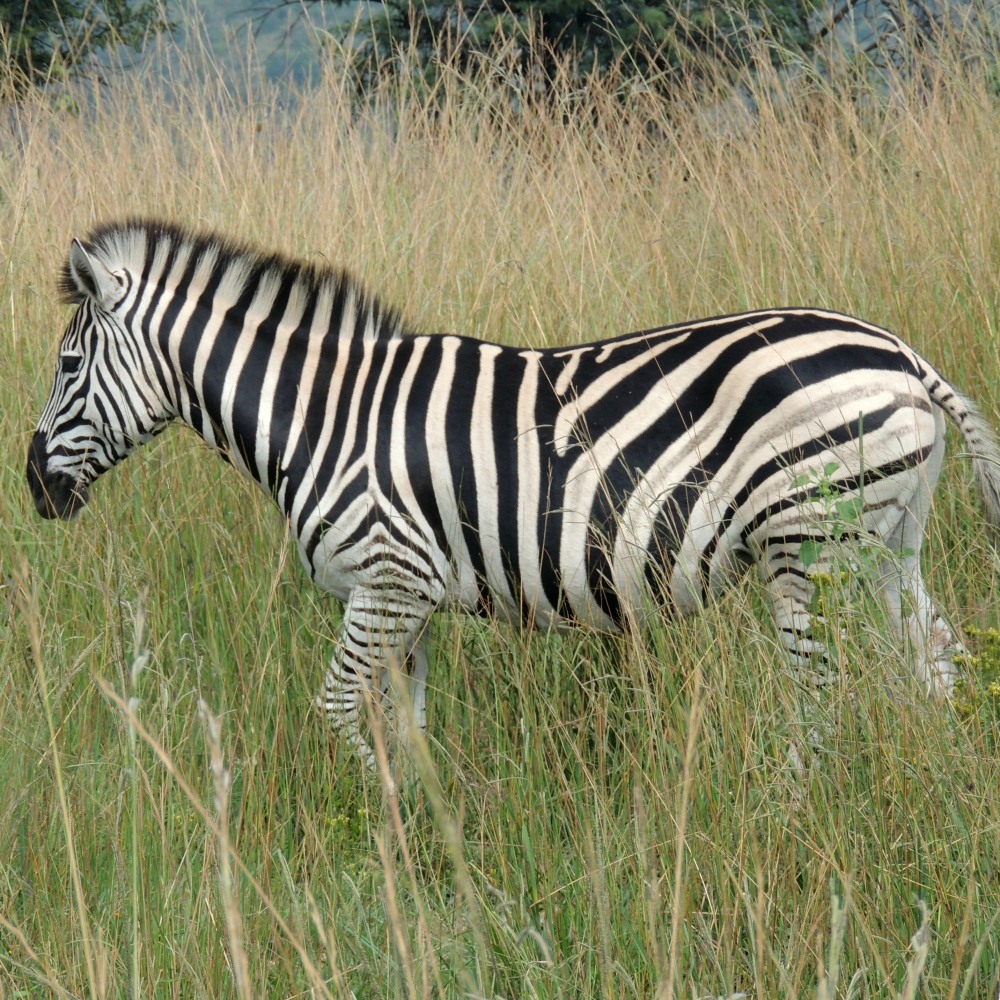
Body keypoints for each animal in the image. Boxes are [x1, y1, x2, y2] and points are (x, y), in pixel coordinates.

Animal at [27, 218, 1000, 774]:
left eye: (67, 366)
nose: (33, 487)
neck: (322, 419)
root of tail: (903, 356)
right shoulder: (406, 601)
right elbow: (404, 725)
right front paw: (424, 831)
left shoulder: (388, 582)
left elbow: (340, 710)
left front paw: (383, 828)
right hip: (884, 546)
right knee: (937, 666)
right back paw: (947, 794)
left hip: (811, 548)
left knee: (823, 693)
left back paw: (792, 809)